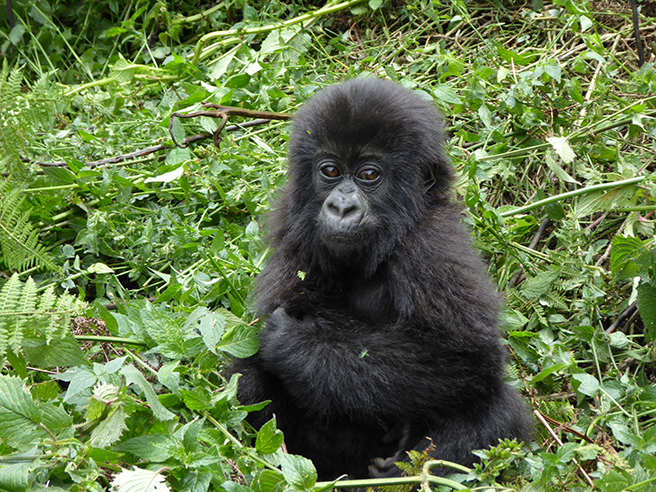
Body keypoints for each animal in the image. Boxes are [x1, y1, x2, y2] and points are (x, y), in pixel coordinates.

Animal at [233, 78, 532, 480]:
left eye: (369, 175)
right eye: (330, 171)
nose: (341, 207)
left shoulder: (432, 242)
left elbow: (463, 355)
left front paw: (294, 342)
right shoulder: (293, 229)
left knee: (498, 410)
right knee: (247, 381)